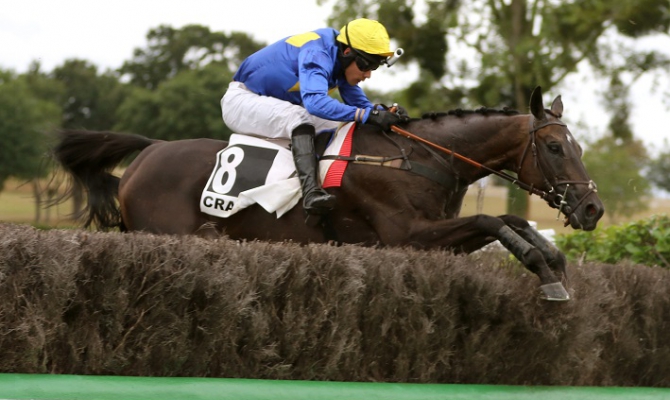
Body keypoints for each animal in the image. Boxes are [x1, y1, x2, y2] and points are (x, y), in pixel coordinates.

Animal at [55, 86, 608, 300]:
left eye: (578, 146)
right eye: (555, 147)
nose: (592, 208)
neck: (423, 158)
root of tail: (149, 150)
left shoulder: (436, 238)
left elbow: (510, 222)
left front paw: (554, 261)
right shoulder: (409, 236)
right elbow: (493, 220)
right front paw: (544, 271)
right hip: (164, 236)